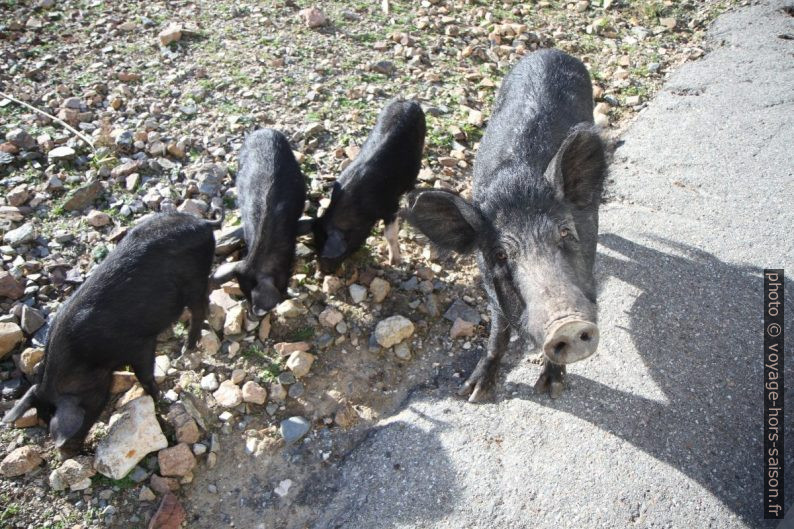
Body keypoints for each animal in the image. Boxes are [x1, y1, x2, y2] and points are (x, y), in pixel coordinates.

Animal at [406, 51, 604, 402]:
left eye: (565, 232)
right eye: (500, 254)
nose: (566, 323)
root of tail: (548, 51)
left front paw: (552, 389)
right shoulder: (490, 287)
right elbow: (498, 333)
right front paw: (473, 394)